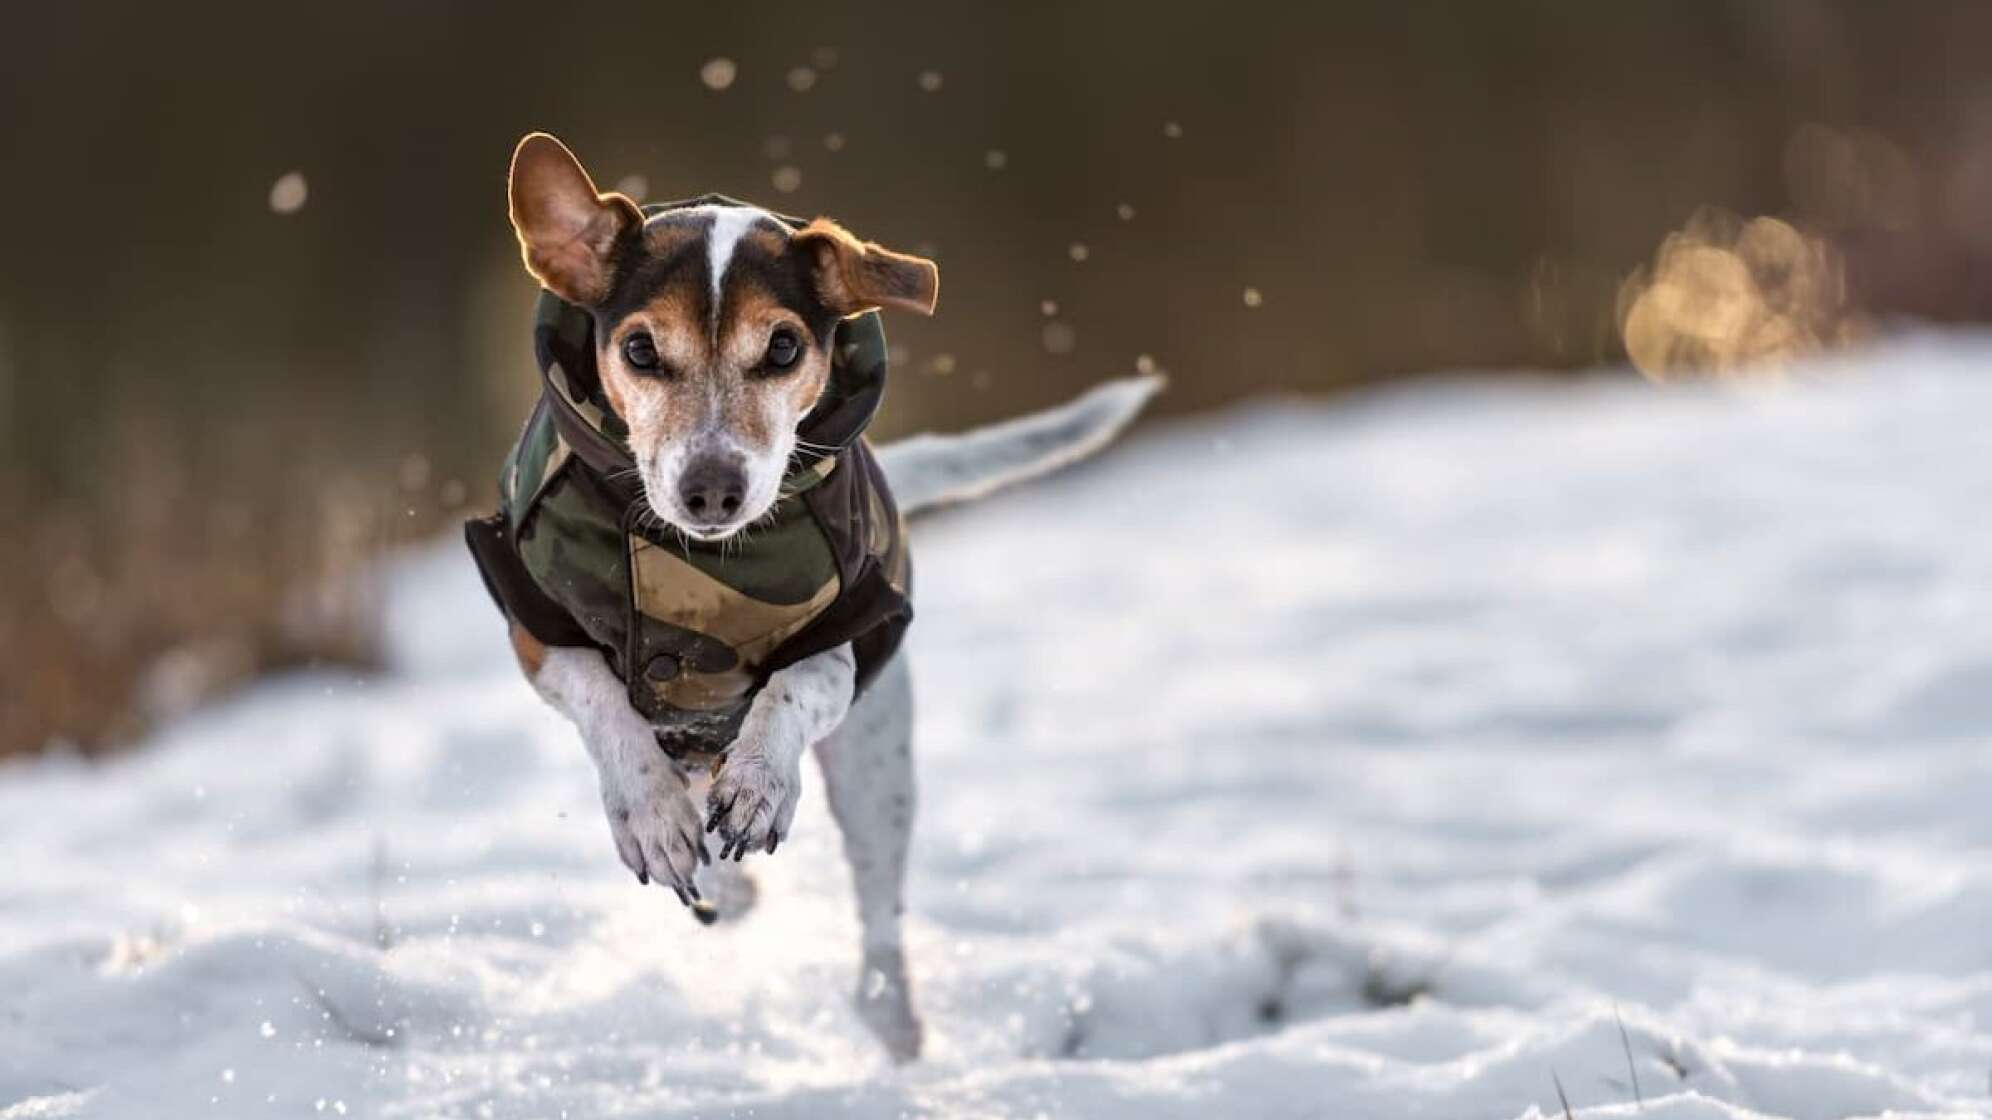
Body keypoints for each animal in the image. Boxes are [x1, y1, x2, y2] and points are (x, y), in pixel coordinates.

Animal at [464, 132, 1155, 1052]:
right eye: (641, 351)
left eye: (784, 349)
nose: (712, 490)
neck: (700, 562)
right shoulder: (537, 629)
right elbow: (604, 702)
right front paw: (649, 813)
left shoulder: (854, 630)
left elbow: (793, 686)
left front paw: (760, 781)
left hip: (876, 766)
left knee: (877, 915)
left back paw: (891, 1021)